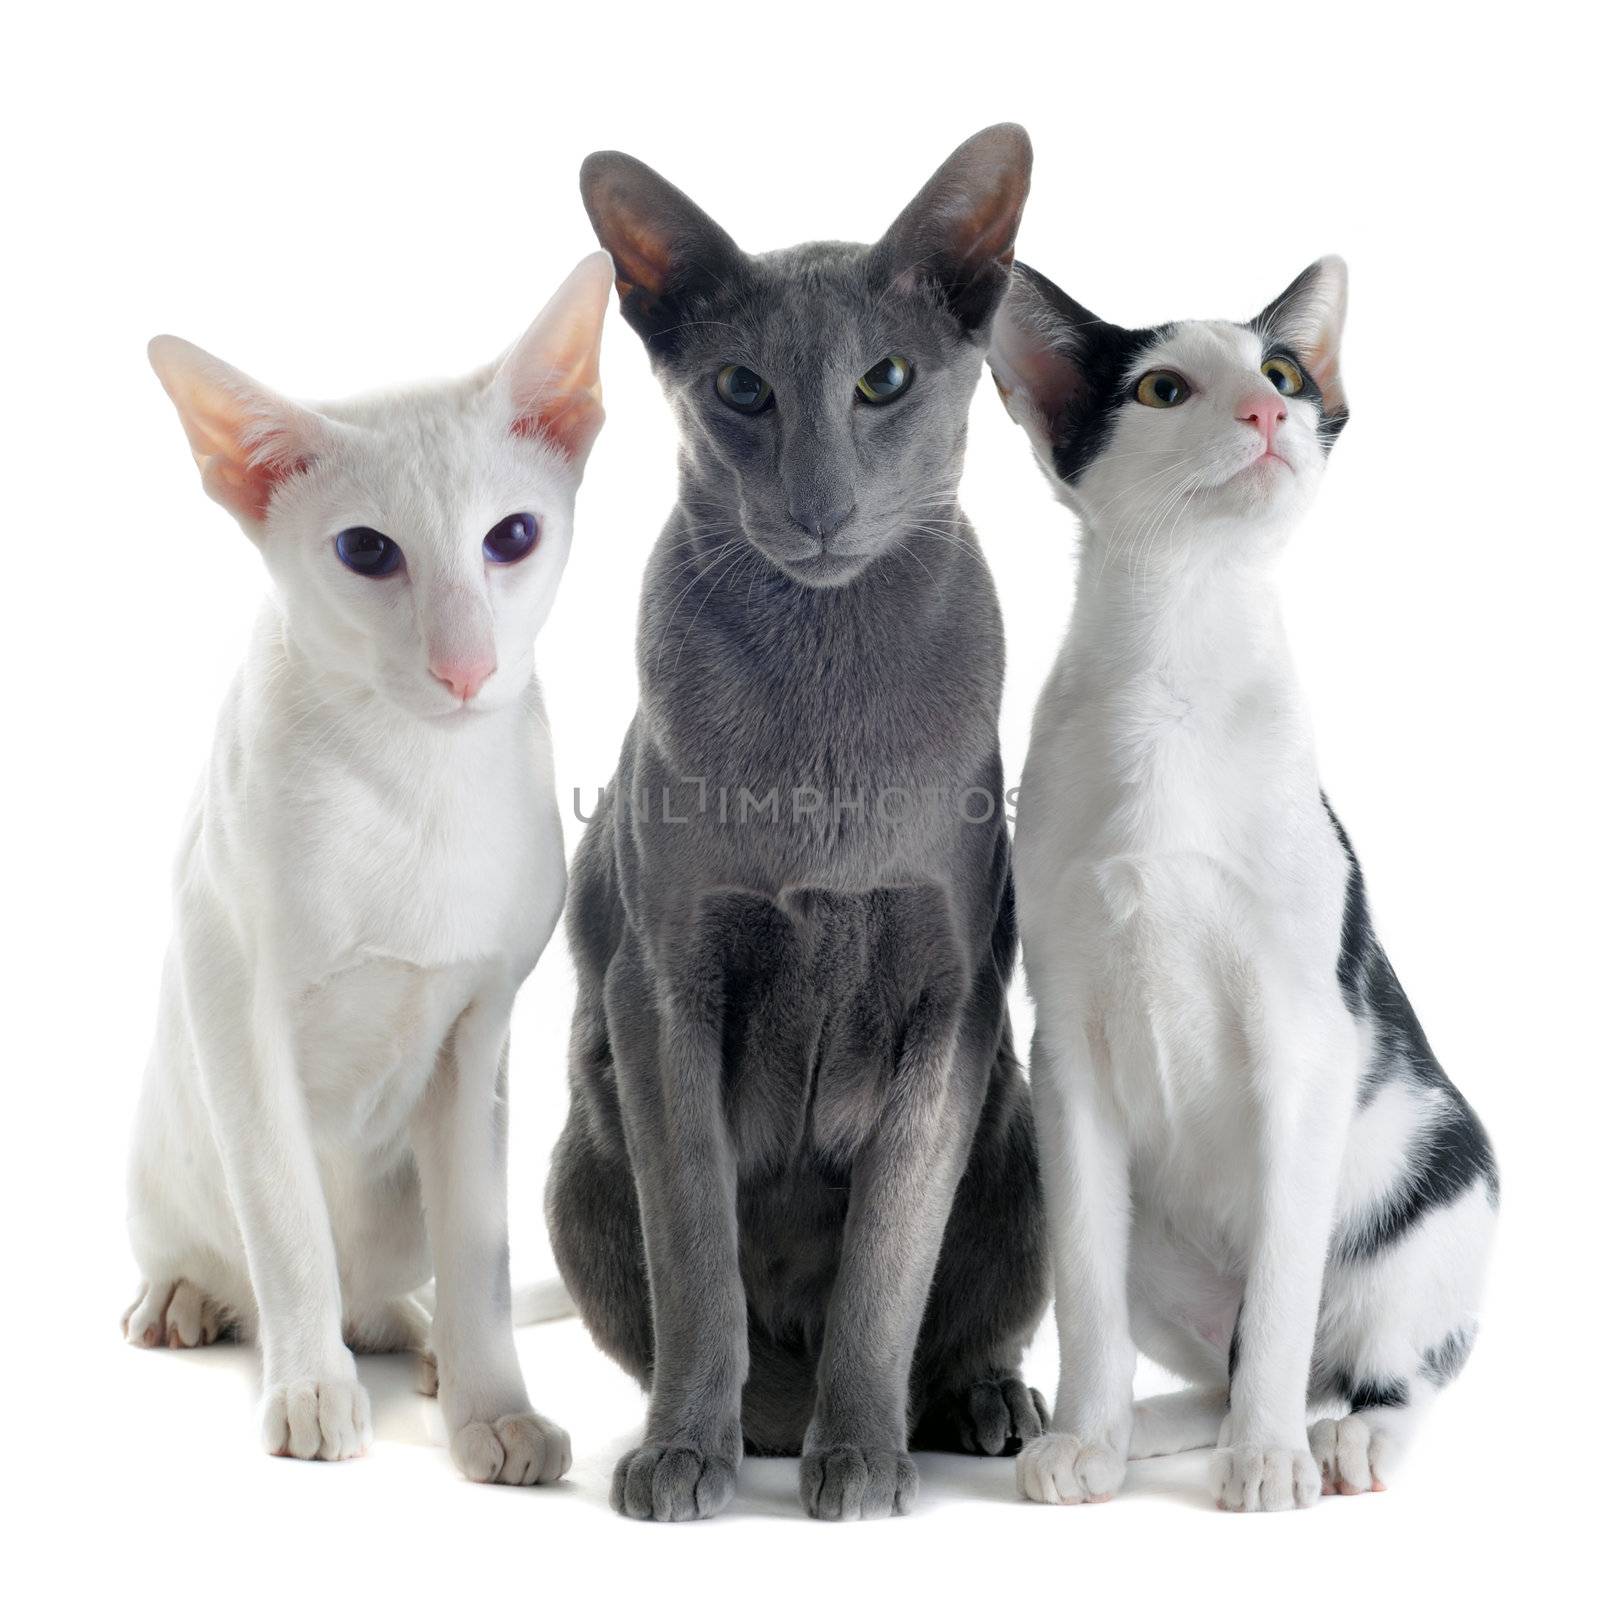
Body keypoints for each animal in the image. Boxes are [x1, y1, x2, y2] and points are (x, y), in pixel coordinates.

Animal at [121, 252, 611, 1484]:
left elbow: (481, 1254)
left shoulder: (480, 1035)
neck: (415, 778)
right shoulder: (238, 1017)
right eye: (366, 553)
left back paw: (421, 1344)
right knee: (239, 1262)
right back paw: (193, 1303)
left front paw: (496, 1412)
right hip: (161, 1147)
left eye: (512, 536)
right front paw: (309, 1395)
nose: (466, 667)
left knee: (393, 1289)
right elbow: (287, 1222)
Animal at [550, 128, 1049, 1523]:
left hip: (1026, 1136)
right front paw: (682, 1452)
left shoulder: (949, 999)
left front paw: (863, 1453)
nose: (819, 505)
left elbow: (889, 1258)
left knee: (967, 1323)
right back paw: (749, 1422)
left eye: (884, 381)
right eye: (741, 388)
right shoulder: (662, 987)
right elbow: (697, 1255)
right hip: (575, 1158)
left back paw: (977, 1406)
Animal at [992, 256, 1491, 1504]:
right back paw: (1143, 1425)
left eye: (1282, 372)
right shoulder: (1065, 1054)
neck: (1180, 646)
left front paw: (1266, 1463)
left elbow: (1279, 1295)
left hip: (1437, 1201)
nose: (1268, 412)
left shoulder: (1301, 1042)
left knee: (1378, 1362)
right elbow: (1086, 1295)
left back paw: (1338, 1437)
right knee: (1213, 1361)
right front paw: (1086, 1436)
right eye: (1163, 387)